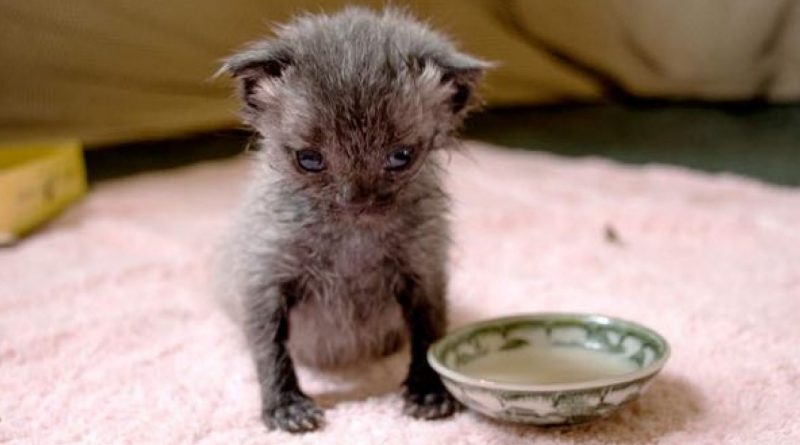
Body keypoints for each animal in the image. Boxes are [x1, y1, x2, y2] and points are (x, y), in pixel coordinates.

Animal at [214, 6, 488, 430]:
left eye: (401, 157)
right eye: (309, 160)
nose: (356, 201)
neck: (351, 237)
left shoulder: (424, 268)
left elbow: (429, 331)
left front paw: (428, 390)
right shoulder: (263, 274)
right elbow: (268, 345)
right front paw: (285, 405)